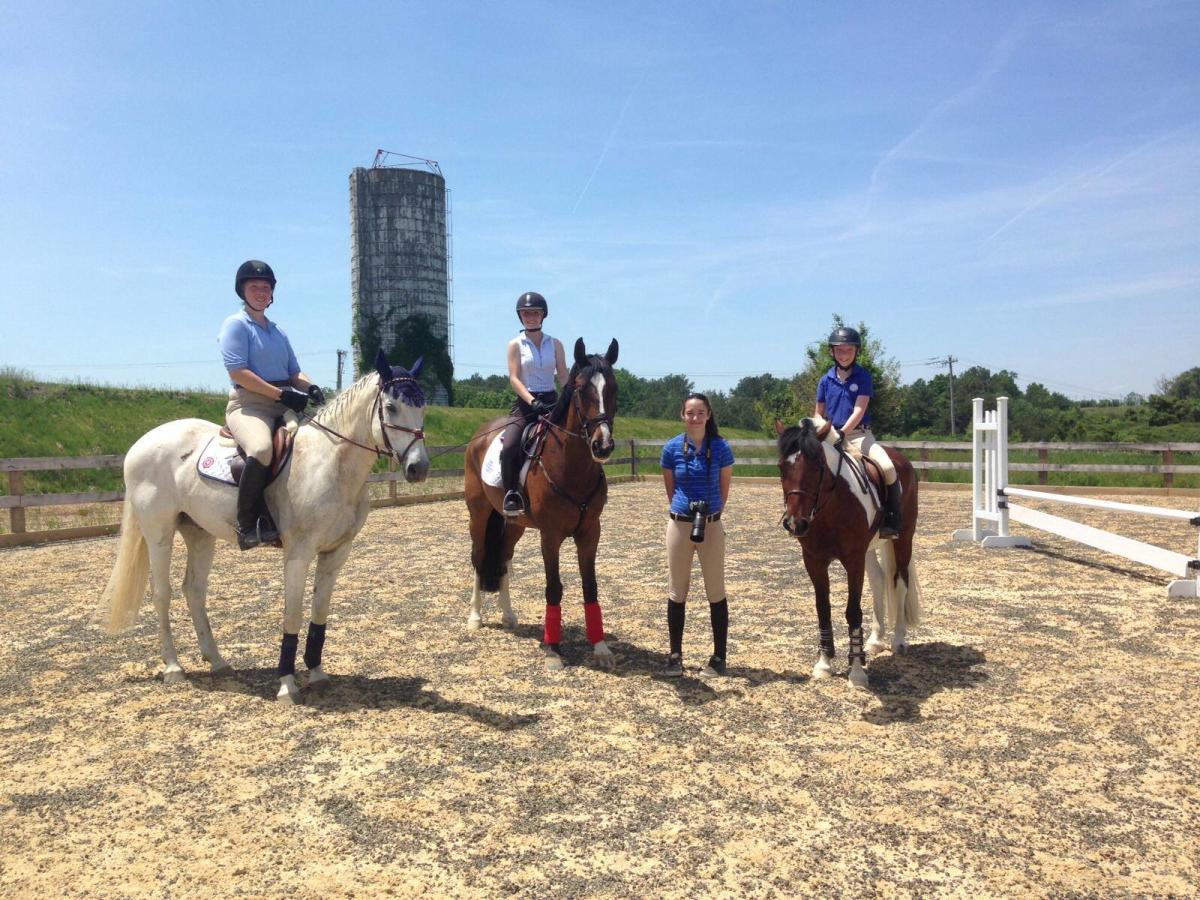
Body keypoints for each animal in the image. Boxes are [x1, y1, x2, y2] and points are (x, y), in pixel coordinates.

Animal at [98, 352, 429, 705]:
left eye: (422, 405)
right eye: (391, 407)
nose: (418, 468)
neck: (331, 463)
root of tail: (141, 443)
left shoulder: (336, 552)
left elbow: (320, 611)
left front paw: (316, 672)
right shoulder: (298, 553)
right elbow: (292, 614)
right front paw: (286, 685)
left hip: (199, 533)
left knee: (194, 590)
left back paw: (218, 662)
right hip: (158, 532)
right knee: (162, 593)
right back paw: (173, 668)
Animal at [777, 415, 916, 691]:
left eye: (817, 467)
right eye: (781, 469)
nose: (795, 524)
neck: (831, 504)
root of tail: (900, 458)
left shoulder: (853, 559)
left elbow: (853, 611)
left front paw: (857, 672)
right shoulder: (814, 560)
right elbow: (823, 608)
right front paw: (824, 664)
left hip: (903, 539)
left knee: (900, 582)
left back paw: (899, 640)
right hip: (869, 549)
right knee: (879, 580)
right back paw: (875, 641)